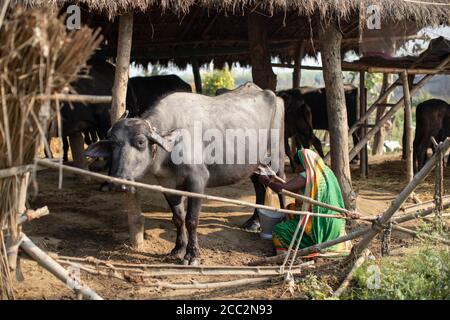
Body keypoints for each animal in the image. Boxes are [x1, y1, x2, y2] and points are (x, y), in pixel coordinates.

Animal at [85, 82, 284, 264]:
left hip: (276, 155)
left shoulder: (197, 182)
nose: (119, 181)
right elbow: (178, 218)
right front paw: (178, 249)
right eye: (112, 143)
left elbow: (191, 220)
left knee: (281, 184)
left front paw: (192, 255)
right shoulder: (167, 184)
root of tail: (271, 95)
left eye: (141, 142)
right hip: (254, 163)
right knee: (260, 186)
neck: (170, 149)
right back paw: (254, 221)